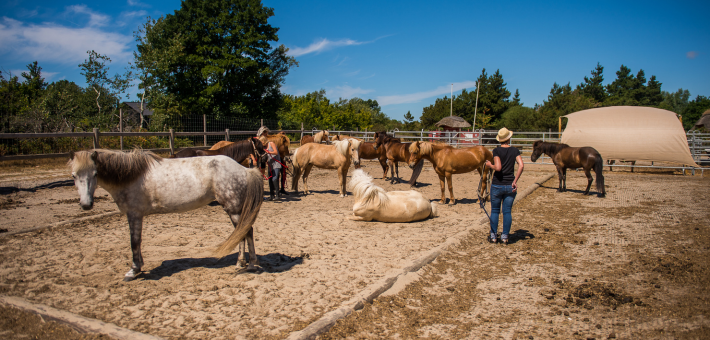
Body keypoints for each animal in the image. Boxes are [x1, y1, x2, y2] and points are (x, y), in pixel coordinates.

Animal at [69, 150, 266, 280]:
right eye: (73, 176)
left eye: (95, 173)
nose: (86, 205)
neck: (131, 176)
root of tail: (245, 169)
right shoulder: (136, 215)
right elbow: (137, 241)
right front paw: (139, 266)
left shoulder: (134, 214)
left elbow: (134, 242)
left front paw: (133, 270)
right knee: (241, 234)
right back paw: (240, 262)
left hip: (234, 209)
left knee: (247, 232)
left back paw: (251, 265)